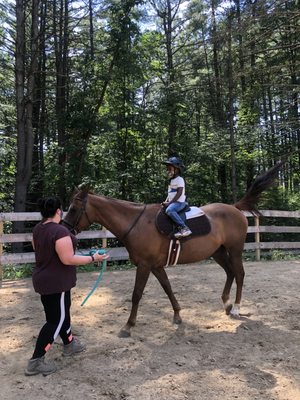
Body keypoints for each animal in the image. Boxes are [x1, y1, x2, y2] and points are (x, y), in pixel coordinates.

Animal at [62, 163, 282, 338]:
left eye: (73, 209)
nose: (65, 229)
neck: (137, 223)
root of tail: (235, 208)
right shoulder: (156, 266)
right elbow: (167, 287)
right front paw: (177, 315)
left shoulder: (144, 265)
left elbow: (136, 294)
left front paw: (128, 326)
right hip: (217, 252)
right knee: (230, 272)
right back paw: (227, 305)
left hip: (235, 250)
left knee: (239, 274)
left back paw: (236, 308)